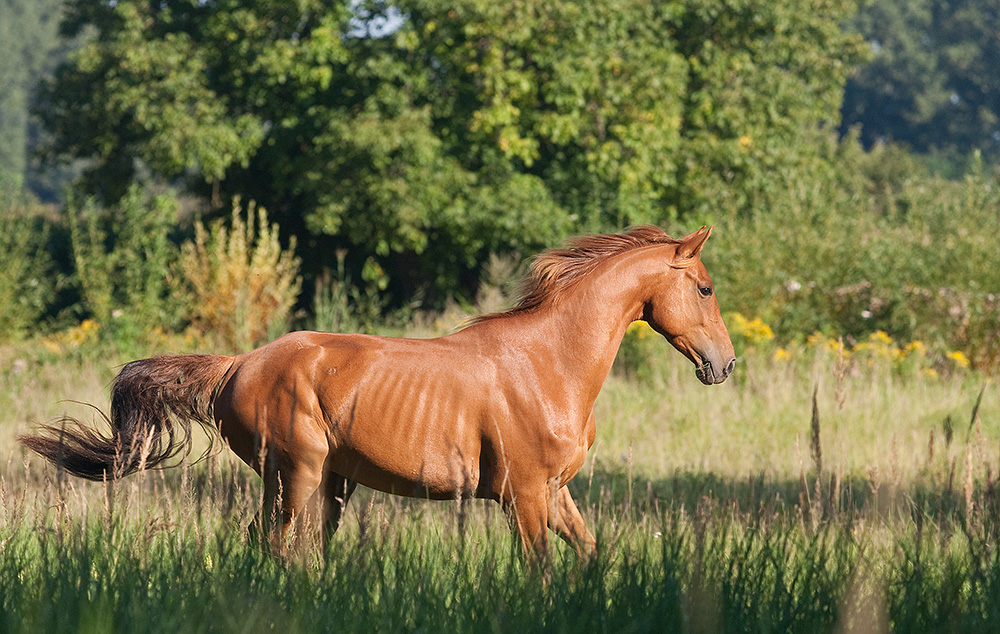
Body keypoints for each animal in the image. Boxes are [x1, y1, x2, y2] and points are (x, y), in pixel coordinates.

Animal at [15, 226, 736, 556]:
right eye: (703, 288)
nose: (724, 365)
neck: (547, 363)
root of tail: (238, 364)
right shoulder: (525, 496)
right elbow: (545, 573)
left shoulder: (555, 494)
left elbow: (588, 558)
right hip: (298, 475)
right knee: (279, 549)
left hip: (323, 483)